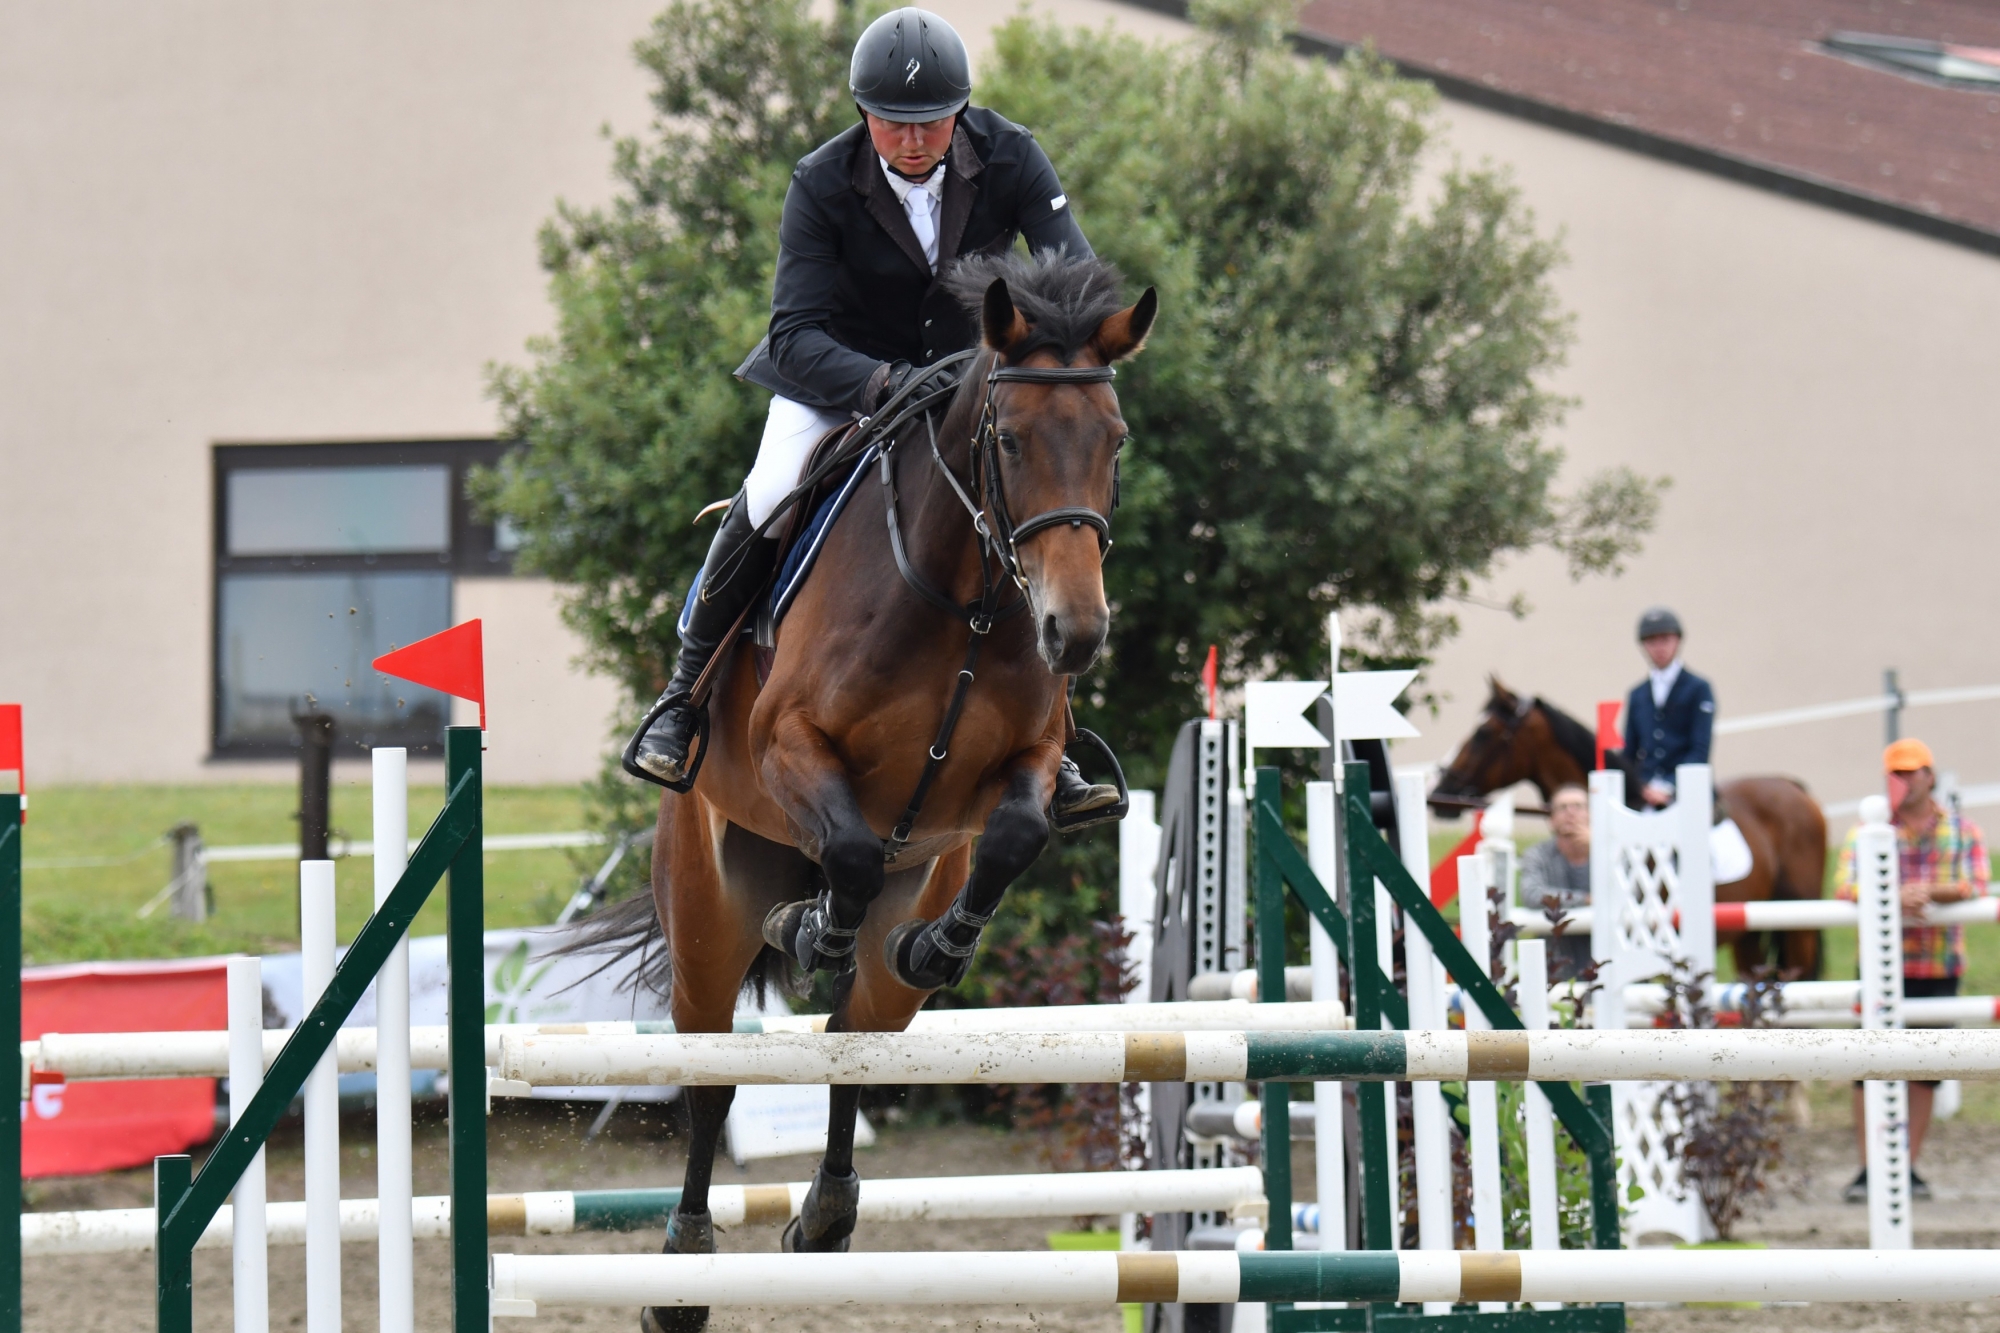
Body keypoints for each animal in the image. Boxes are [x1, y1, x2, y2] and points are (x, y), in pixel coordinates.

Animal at [580, 252, 1152, 1328]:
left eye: (1114, 440)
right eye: (1007, 440)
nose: (1076, 633)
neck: (968, 599)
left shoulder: (1020, 764)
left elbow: (1015, 833)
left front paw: (935, 942)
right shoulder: (788, 748)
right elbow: (844, 844)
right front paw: (811, 929)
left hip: (896, 947)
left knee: (854, 1036)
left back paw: (826, 1212)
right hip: (705, 917)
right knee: (711, 1078)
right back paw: (682, 1269)